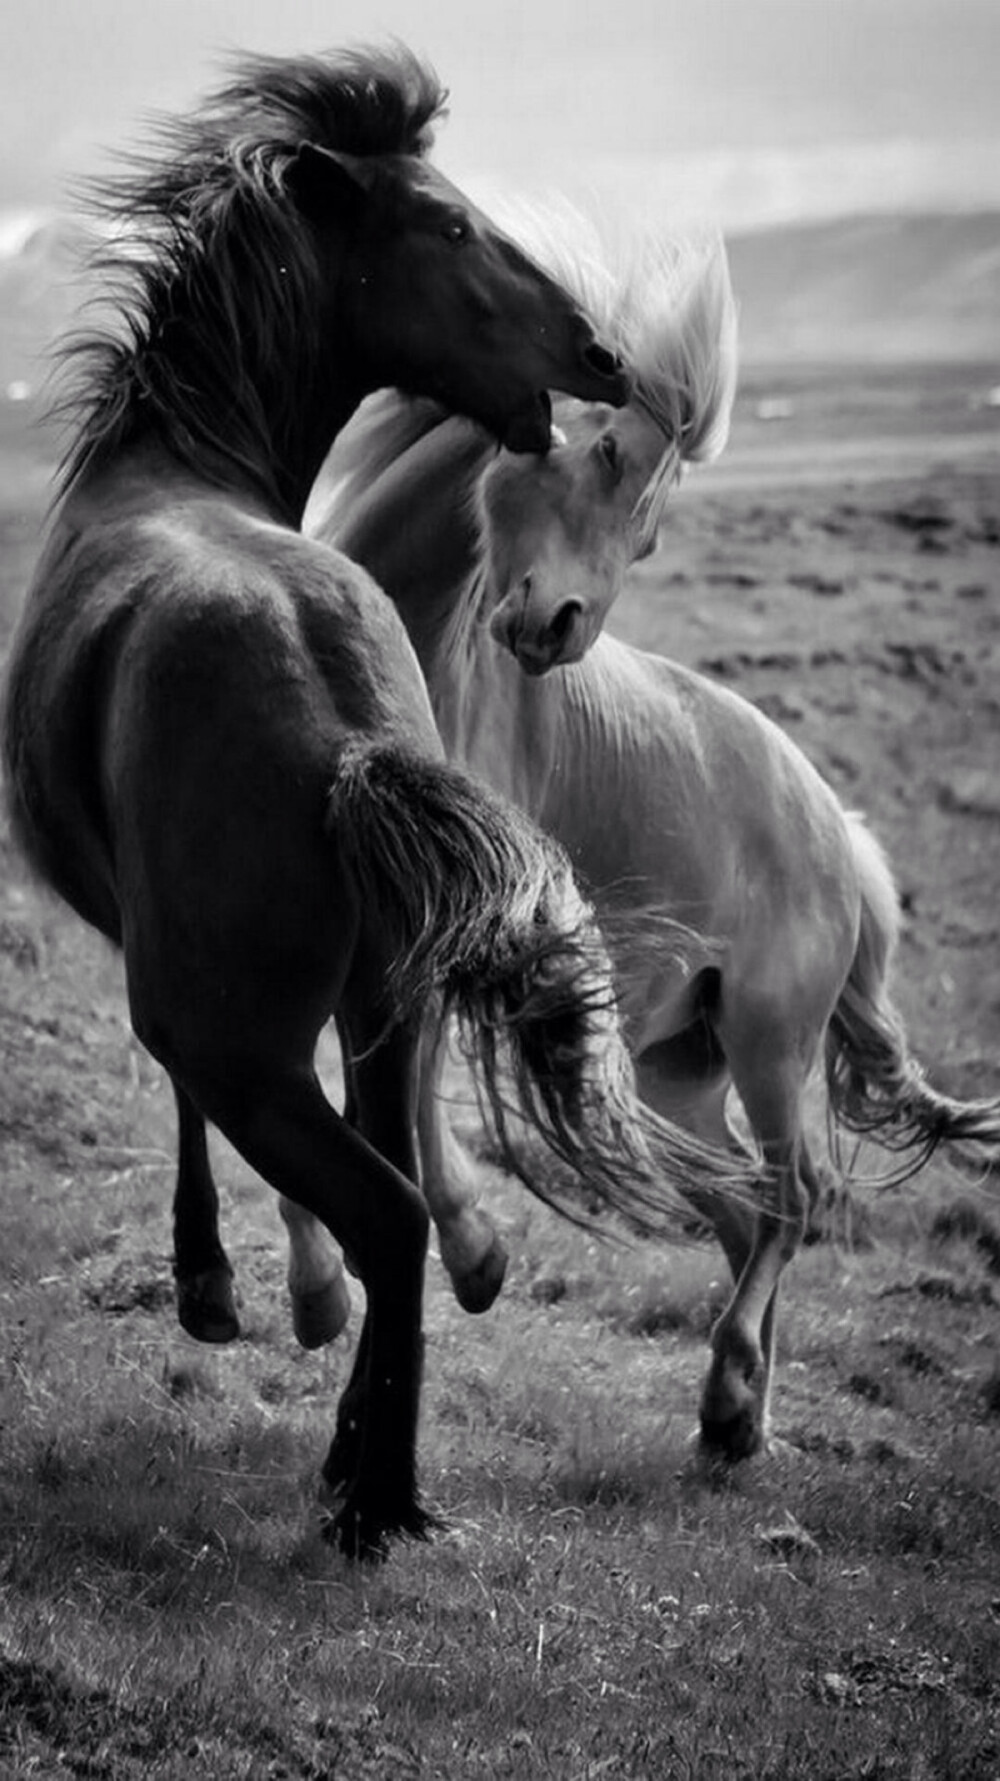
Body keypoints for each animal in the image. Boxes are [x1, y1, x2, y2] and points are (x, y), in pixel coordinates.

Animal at [1, 48, 748, 1560]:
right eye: (451, 225)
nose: (602, 357)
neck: (171, 467)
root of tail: (342, 725)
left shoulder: (183, 1000)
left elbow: (184, 1105)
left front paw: (214, 1287)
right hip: (383, 1004)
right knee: (393, 1185)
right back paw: (372, 1463)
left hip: (247, 1045)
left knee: (381, 1204)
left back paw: (368, 1494)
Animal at [310, 233, 998, 1460]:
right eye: (604, 448)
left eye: (652, 526)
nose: (557, 628)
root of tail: (838, 831)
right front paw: (314, 1287)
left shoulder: (454, 929)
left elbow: (417, 1095)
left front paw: (474, 1252)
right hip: (683, 1061)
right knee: (735, 1207)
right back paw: (741, 1407)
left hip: (769, 1043)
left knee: (788, 1195)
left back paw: (729, 1395)